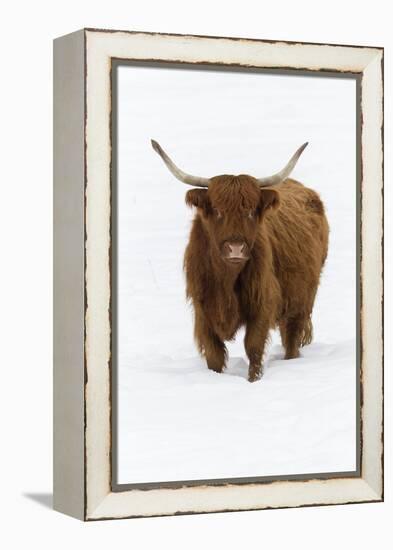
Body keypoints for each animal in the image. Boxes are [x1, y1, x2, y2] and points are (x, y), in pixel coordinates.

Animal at [151, 139, 328, 384]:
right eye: (217, 210)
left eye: (251, 211)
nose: (236, 248)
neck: (225, 279)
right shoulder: (203, 310)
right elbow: (214, 354)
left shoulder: (261, 303)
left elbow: (253, 347)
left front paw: (253, 381)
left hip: (301, 300)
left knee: (291, 337)